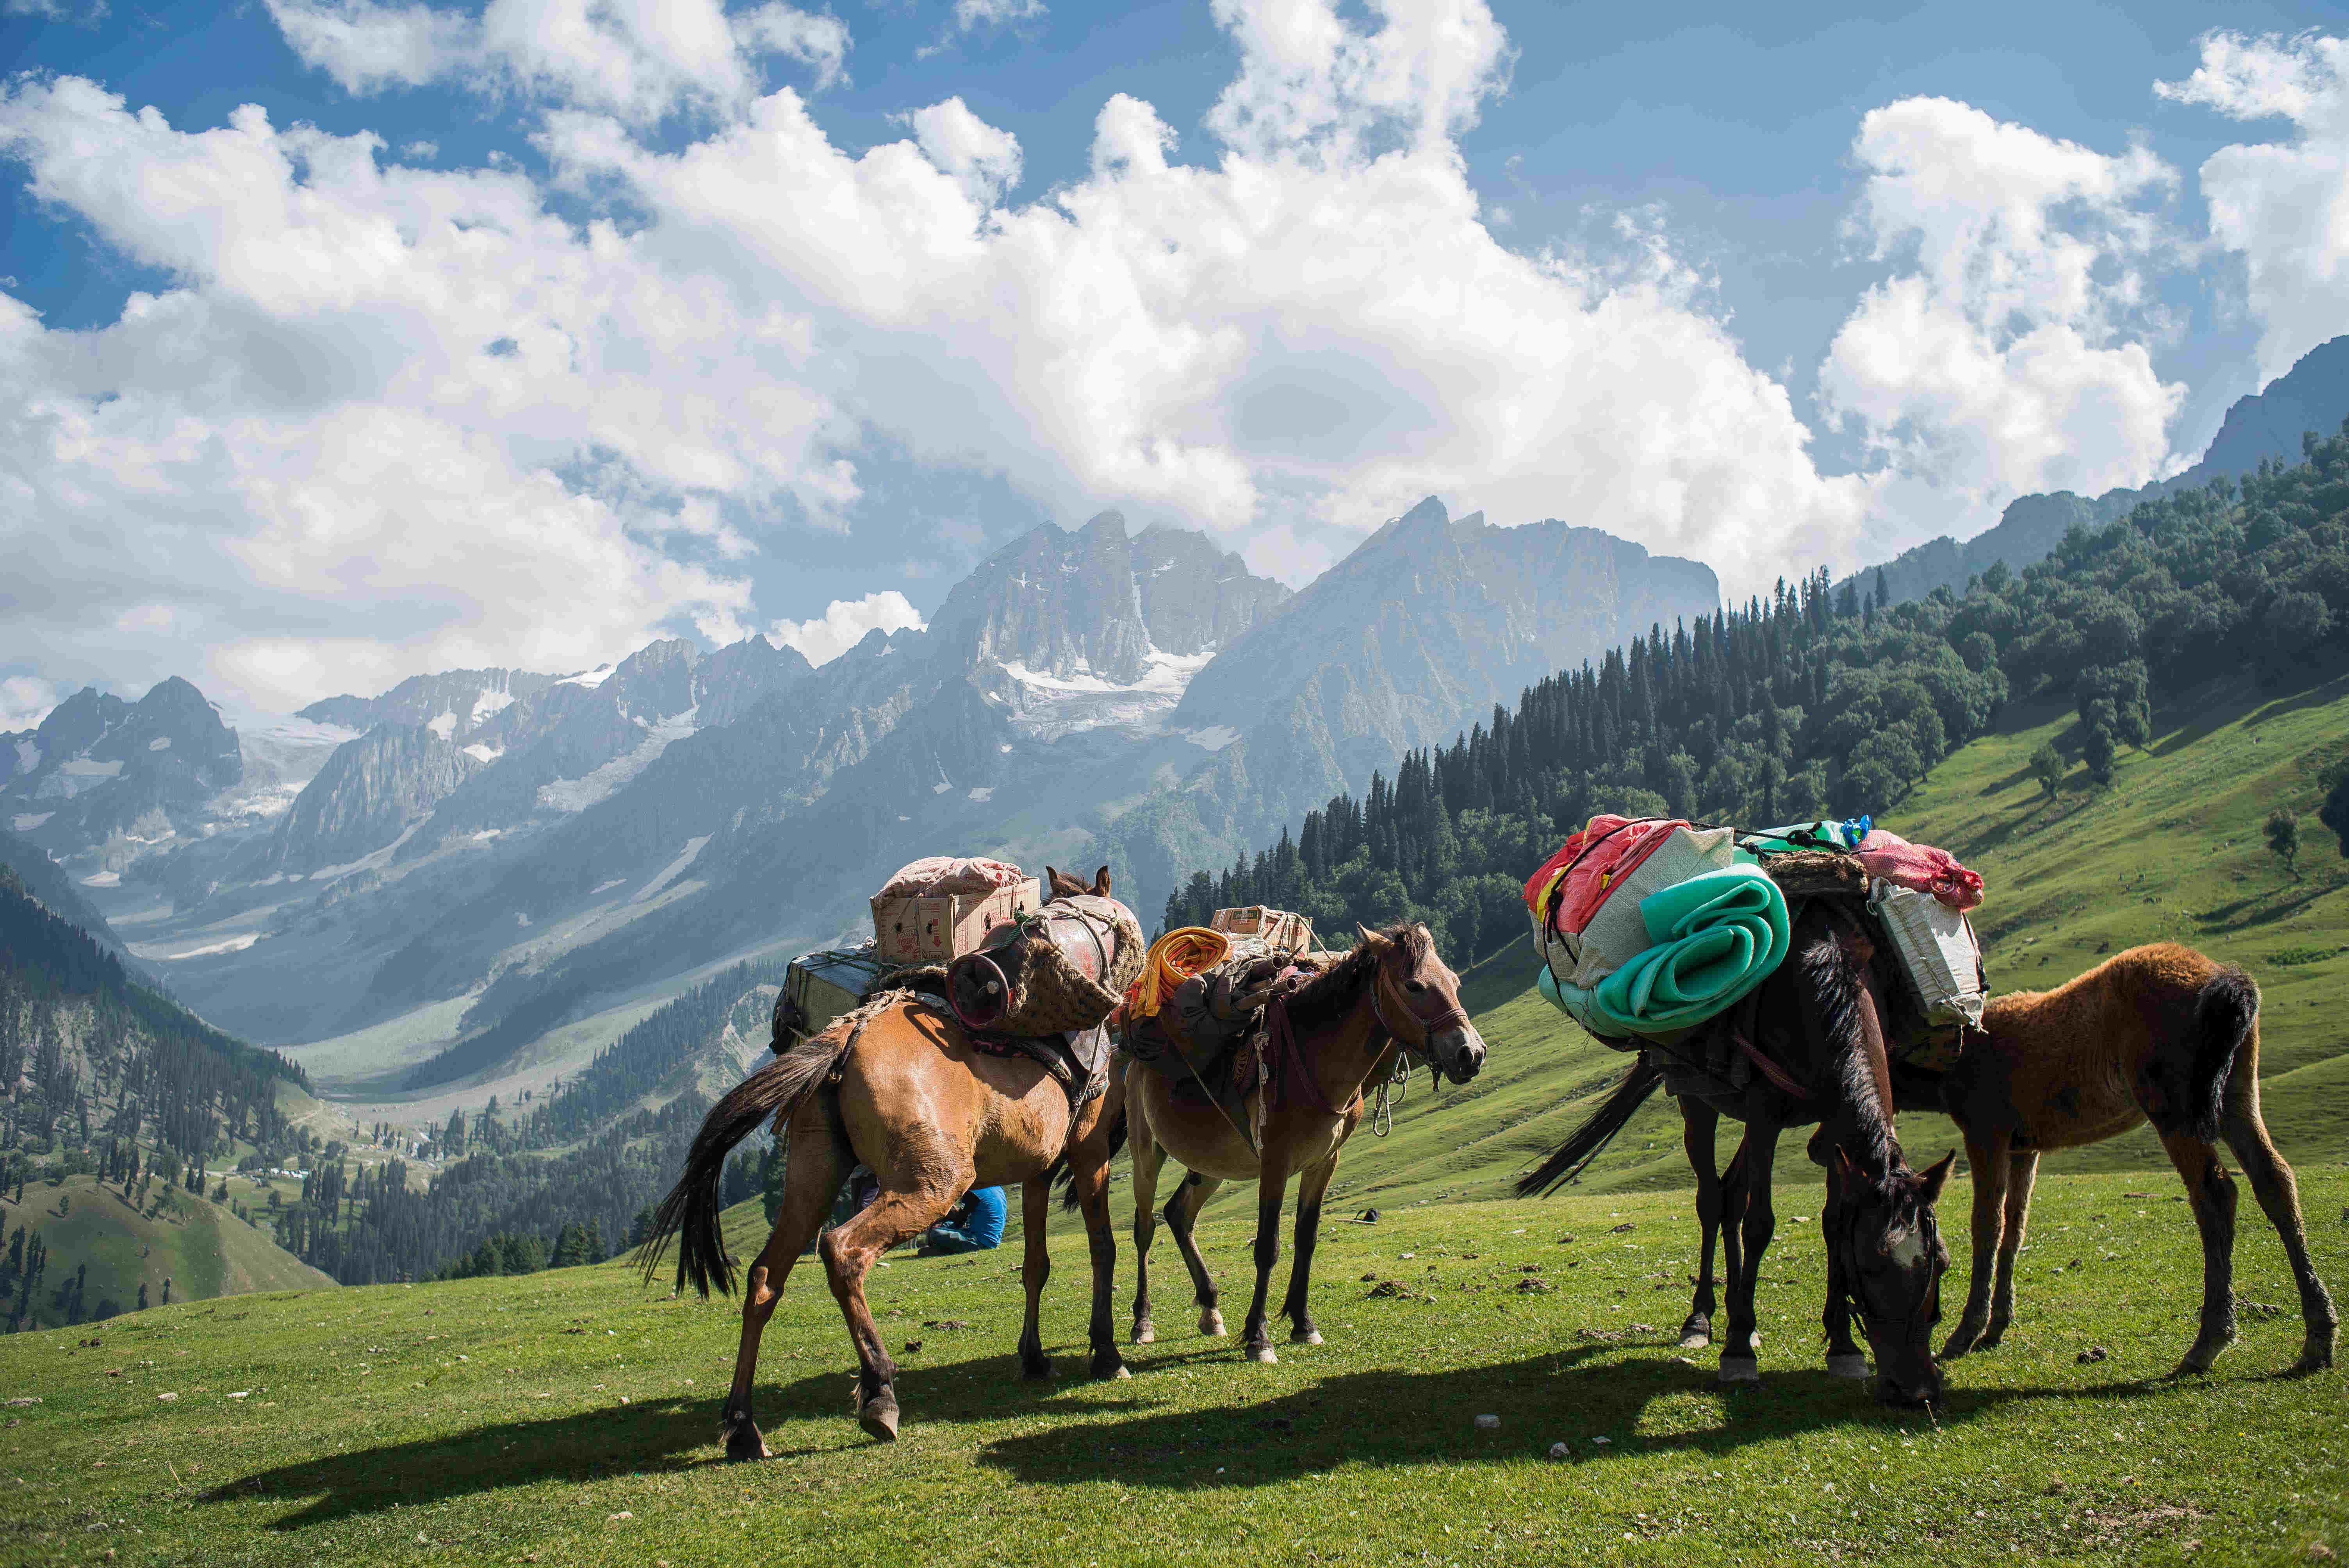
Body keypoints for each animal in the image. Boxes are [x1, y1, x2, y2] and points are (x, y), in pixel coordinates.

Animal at [639, 866, 1140, 1452]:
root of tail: (845, 1035)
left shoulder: (1037, 1169)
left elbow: (1036, 1265)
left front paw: (1034, 1357)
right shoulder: (1088, 1152)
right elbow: (1103, 1248)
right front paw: (1105, 1352)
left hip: (815, 1176)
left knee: (766, 1276)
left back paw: (743, 1424)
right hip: (934, 1183)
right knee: (843, 1251)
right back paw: (879, 1391)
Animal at [1118, 922, 1487, 1365]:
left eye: (1455, 982)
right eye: (1414, 985)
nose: (1471, 1053)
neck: (1315, 1061)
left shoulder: (1324, 1162)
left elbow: (1306, 1238)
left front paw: (1303, 1324)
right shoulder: (1275, 1163)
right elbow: (1267, 1246)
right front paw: (1259, 1338)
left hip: (1211, 1164)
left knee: (1179, 1214)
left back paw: (1210, 1309)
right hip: (1147, 1154)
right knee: (1144, 1228)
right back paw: (1143, 1322)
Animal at [1519, 896, 1957, 1407]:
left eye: (1942, 1262)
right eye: (1870, 1264)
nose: (1916, 1390)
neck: (1822, 984)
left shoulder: (1834, 1133)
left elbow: (1831, 1222)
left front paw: (1842, 1344)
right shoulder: (1764, 1112)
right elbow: (1760, 1223)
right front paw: (1737, 1352)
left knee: (1731, 1193)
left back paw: (1737, 1317)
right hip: (1697, 1103)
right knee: (1713, 1201)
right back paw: (1704, 1319)